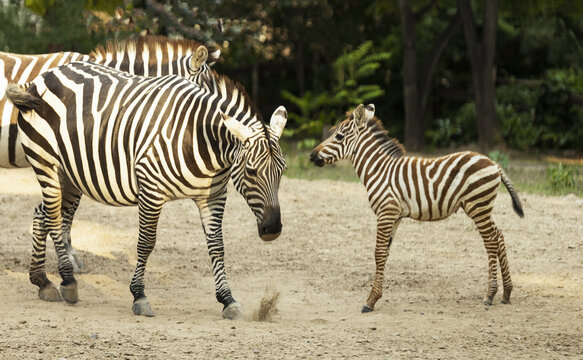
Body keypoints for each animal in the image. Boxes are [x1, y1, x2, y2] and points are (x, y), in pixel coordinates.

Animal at [4, 60, 288, 320]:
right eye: (251, 171)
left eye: (282, 171)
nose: (273, 229)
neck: (200, 138)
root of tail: (46, 75)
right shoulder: (151, 189)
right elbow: (146, 243)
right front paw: (139, 295)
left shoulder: (214, 196)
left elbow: (217, 246)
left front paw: (227, 299)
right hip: (45, 162)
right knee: (52, 217)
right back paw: (67, 280)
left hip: (70, 174)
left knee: (41, 214)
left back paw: (42, 281)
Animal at [312, 103, 528, 312]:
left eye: (339, 136)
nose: (312, 156)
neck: (379, 170)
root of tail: (494, 163)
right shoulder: (395, 216)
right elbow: (385, 253)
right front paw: (376, 297)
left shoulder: (385, 212)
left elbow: (378, 253)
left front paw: (370, 300)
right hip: (480, 207)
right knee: (498, 236)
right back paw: (507, 292)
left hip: (478, 206)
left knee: (491, 241)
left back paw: (490, 295)